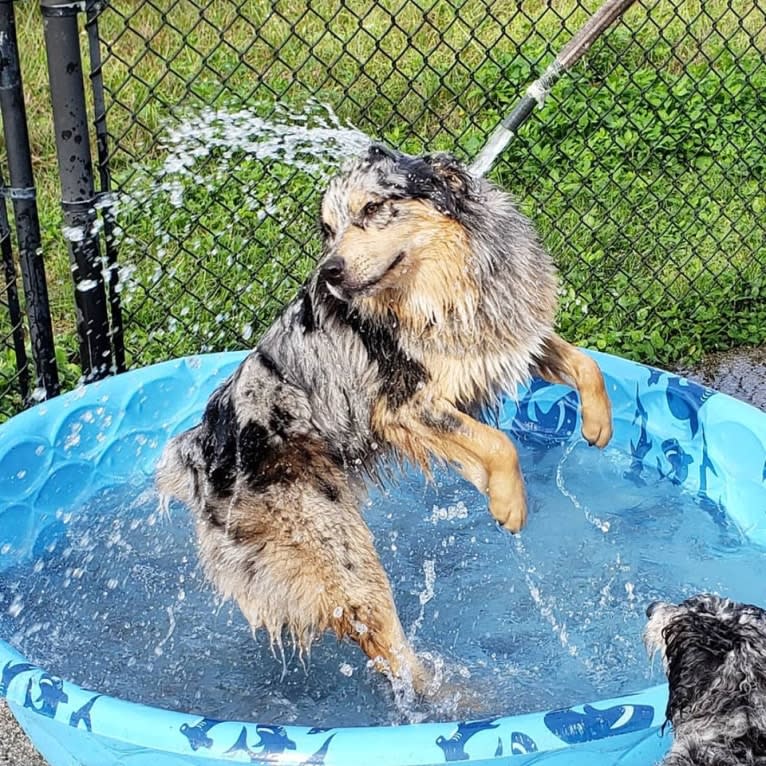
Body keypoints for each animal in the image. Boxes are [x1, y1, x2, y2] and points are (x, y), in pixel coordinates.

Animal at [156, 144, 612, 688]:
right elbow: (500, 443)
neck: (445, 287)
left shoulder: (503, 342)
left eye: (373, 209)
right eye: (328, 229)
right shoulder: (400, 407)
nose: (329, 271)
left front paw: (598, 424)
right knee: (385, 644)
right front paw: (508, 503)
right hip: (339, 555)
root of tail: (199, 453)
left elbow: (585, 364)